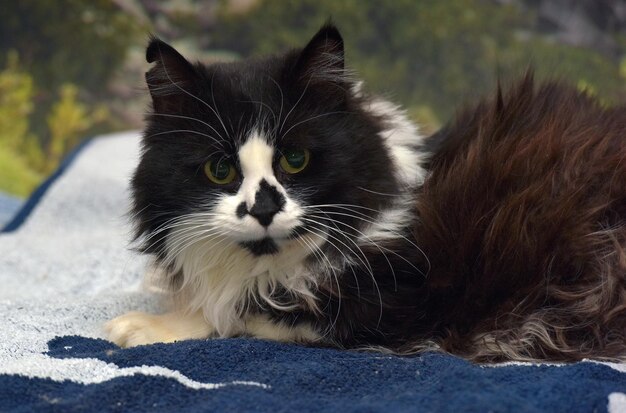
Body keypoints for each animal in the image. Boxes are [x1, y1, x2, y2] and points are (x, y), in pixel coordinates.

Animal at [105, 23, 620, 360]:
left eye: (295, 160)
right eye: (220, 169)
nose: (263, 208)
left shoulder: (399, 302)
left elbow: (239, 311)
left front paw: (147, 325)